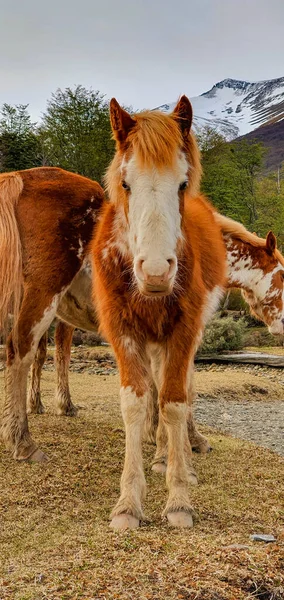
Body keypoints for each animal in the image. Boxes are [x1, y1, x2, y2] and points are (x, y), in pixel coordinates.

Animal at [91, 95, 226, 528]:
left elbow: (174, 402)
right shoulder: (123, 332)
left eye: (182, 184)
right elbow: (137, 404)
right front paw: (128, 503)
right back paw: (162, 456)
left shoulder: (183, 331)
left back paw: (179, 457)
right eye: (125, 184)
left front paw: (179, 497)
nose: (154, 272)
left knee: (179, 389)